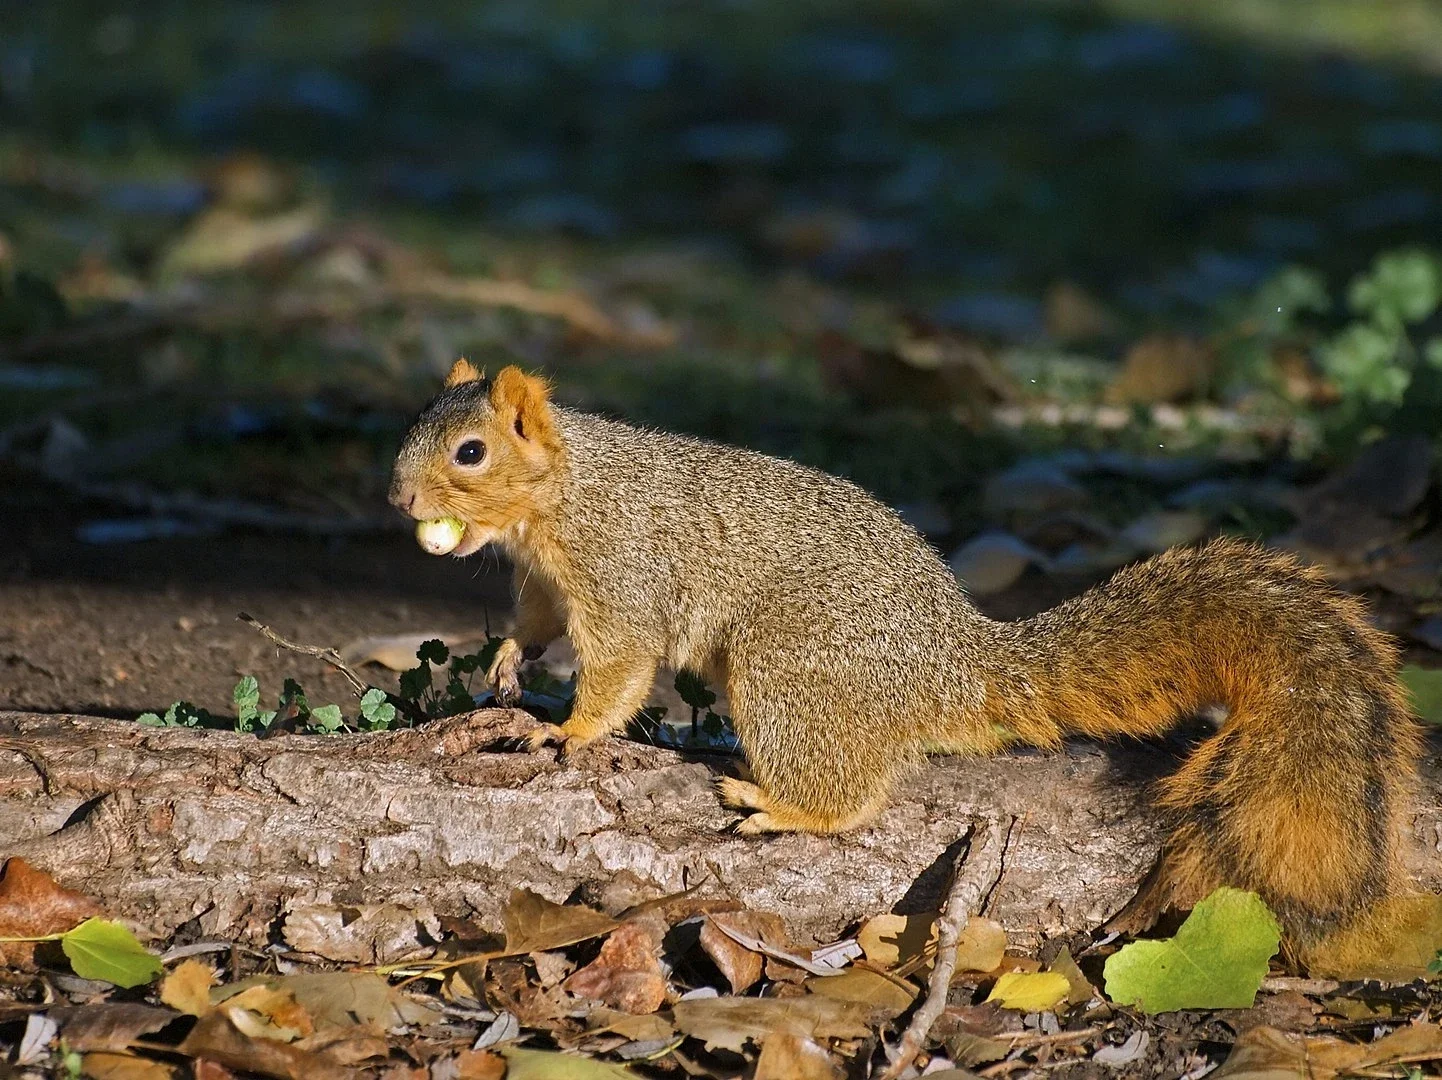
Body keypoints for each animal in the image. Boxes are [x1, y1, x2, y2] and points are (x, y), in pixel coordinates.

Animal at [389, 360, 1421, 951]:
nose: (400, 501)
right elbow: (532, 623)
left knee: (856, 797)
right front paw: (508, 666)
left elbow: (618, 667)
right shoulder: (542, 581)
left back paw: (783, 805)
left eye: (471, 451)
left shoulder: (619, 570)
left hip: (789, 666)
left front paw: (564, 736)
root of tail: (952, 665)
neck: (560, 494)